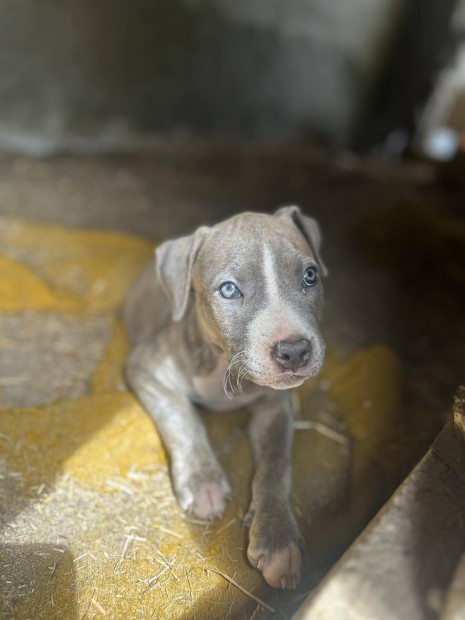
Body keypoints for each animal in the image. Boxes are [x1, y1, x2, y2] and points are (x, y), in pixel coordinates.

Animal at [123, 206, 326, 588]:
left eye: (310, 276)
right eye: (229, 290)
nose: (294, 351)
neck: (224, 367)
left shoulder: (275, 407)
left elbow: (275, 463)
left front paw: (277, 539)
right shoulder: (146, 368)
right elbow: (183, 419)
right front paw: (204, 484)